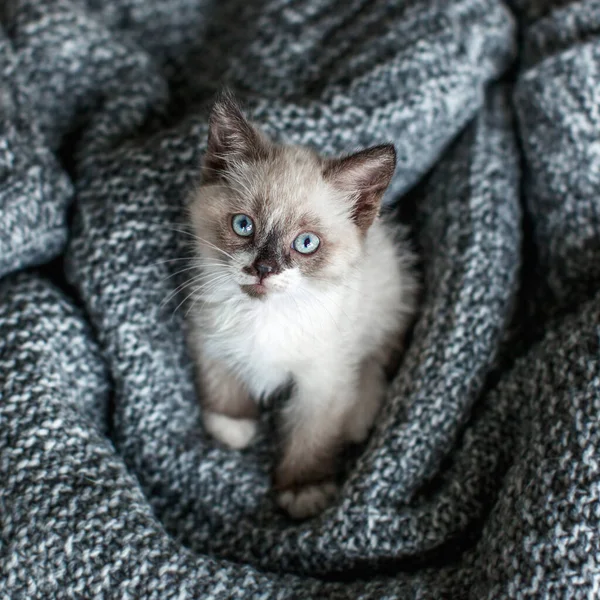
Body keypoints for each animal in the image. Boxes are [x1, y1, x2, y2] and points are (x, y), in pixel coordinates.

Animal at [186, 91, 418, 516]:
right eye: (243, 225)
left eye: (306, 243)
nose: (263, 269)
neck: (265, 316)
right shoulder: (206, 332)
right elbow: (220, 380)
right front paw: (232, 426)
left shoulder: (322, 383)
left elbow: (312, 438)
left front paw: (303, 492)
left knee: (378, 359)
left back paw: (360, 417)